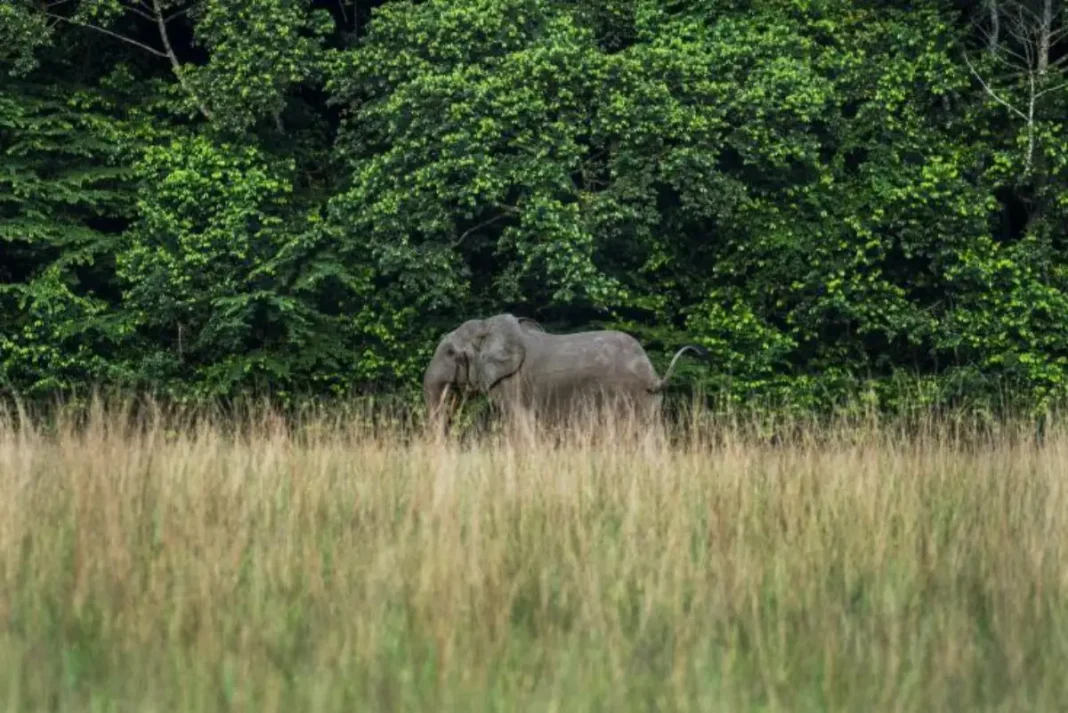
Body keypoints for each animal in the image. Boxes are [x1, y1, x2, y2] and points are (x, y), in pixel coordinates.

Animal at [418, 313, 709, 435]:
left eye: (450, 353)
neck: (488, 326)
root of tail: (652, 375)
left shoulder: (513, 381)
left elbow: (518, 421)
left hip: (626, 396)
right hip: (648, 402)